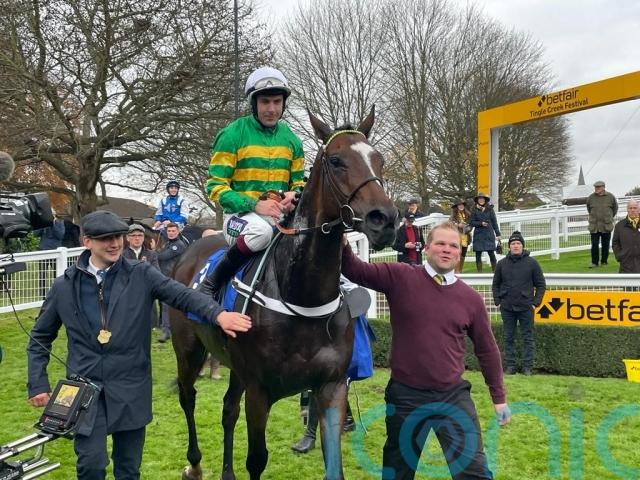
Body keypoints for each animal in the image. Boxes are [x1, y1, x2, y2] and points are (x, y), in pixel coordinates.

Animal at [169, 107, 398, 480]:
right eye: (336, 161)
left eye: (379, 159)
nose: (386, 219)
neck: (303, 296)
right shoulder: (259, 390)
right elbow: (256, 460)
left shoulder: (331, 386)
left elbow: (334, 466)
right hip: (188, 350)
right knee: (188, 397)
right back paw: (195, 464)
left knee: (228, 409)